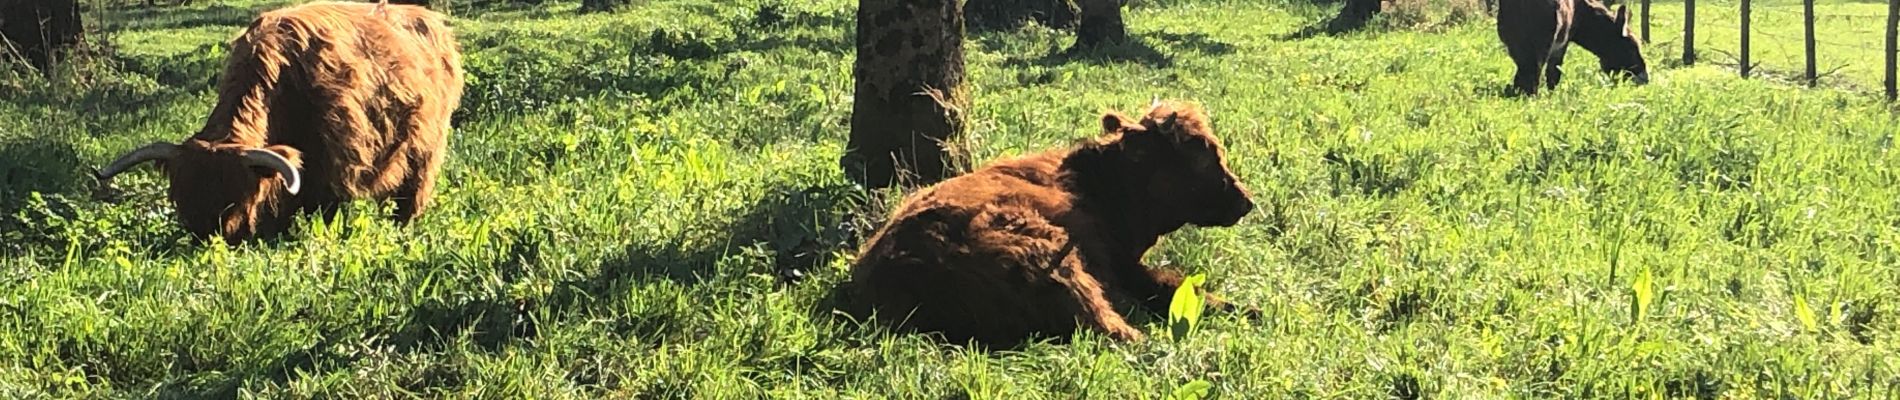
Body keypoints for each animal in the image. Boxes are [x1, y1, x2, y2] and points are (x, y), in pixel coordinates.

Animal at [94, 1, 465, 244]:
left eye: (233, 200)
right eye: (181, 198)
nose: (207, 236)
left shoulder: (333, 166)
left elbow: (323, 209)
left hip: (424, 151)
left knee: (410, 198)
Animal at [855, 100, 1254, 346]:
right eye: (1201, 157)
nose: (1246, 201)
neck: (1096, 184)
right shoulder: (1122, 267)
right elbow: (1173, 285)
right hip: (1058, 259)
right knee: (1114, 328)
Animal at [1497, 0, 1649, 94]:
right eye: (1631, 48)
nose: (1645, 79)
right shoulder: (1561, 45)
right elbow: (1553, 76)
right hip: (1541, 47)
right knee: (1533, 78)